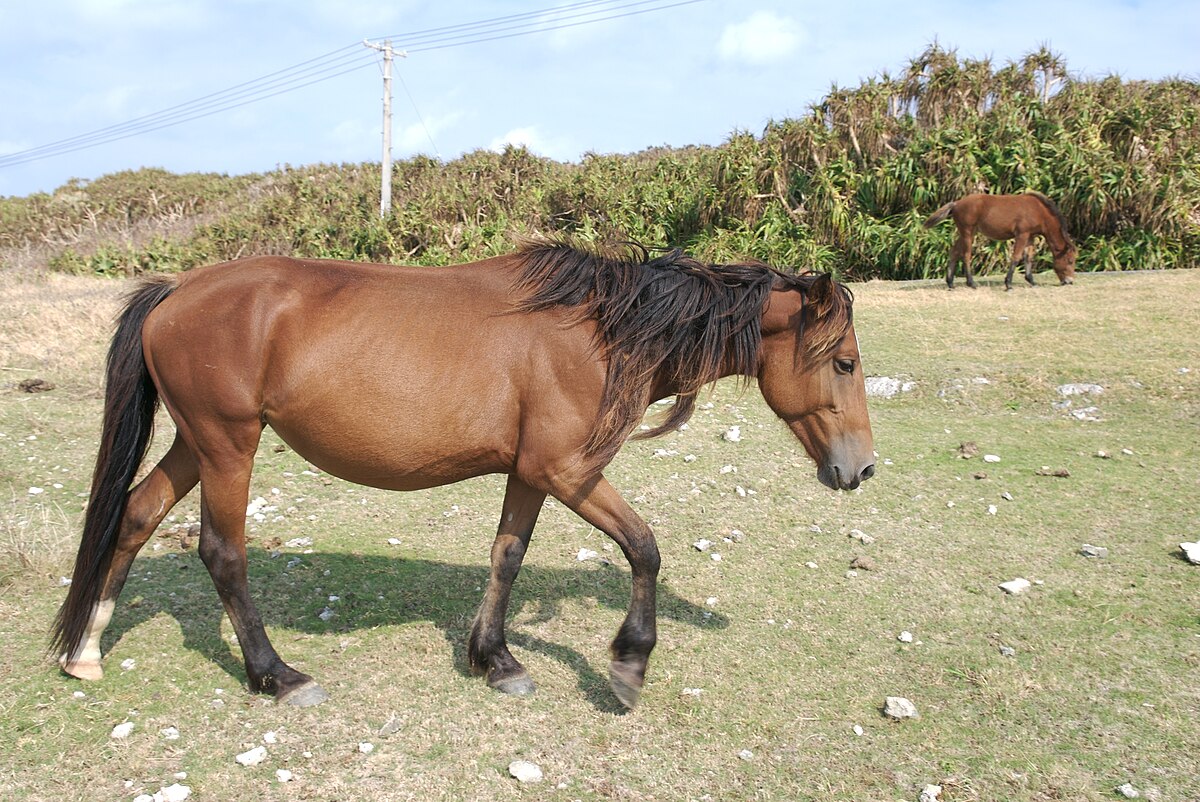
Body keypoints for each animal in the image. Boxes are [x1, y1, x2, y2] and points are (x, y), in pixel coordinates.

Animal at [51, 237, 878, 705]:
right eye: (844, 361)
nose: (862, 468)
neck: (603, 333)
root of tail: (177, 291)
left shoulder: (531, 472)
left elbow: (507, 555)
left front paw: (496, 659)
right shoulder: (568, 470)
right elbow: (644, 547)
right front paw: (628, 665)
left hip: (198, 444)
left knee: (135, 515)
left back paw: (86, 650)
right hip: (228, 447)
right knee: (223, 554)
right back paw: (277, 676)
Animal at [921, 192, 1084, 289]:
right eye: (1070, 261)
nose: (1069, 281)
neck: (1038, 210)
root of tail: (956, 203)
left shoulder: (1030, 237)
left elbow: (1028, 258)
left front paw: (1031, 281)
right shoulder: (1022, 234)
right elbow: (1016, 257)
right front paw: (1008, 283)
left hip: (965, 233)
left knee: (954, 252)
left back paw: (950, 283)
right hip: (968, 233)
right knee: (966, 255)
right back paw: (971, 283)